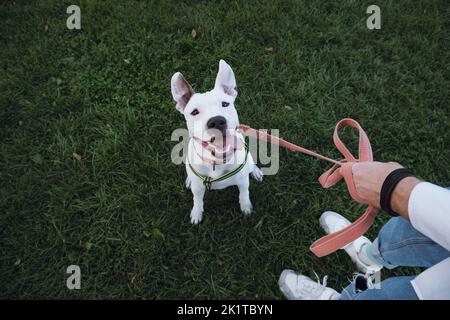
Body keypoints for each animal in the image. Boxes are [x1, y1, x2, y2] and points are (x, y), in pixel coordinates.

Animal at [171, 59, 264, 222]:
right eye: (194, 112)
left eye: (225, 104)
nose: (217, 121)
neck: (217, 161)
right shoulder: (198, 188)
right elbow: (197, 200)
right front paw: (197, 213)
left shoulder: (243, 182)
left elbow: (244, 194)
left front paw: (246, 207)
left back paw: (256, 171)